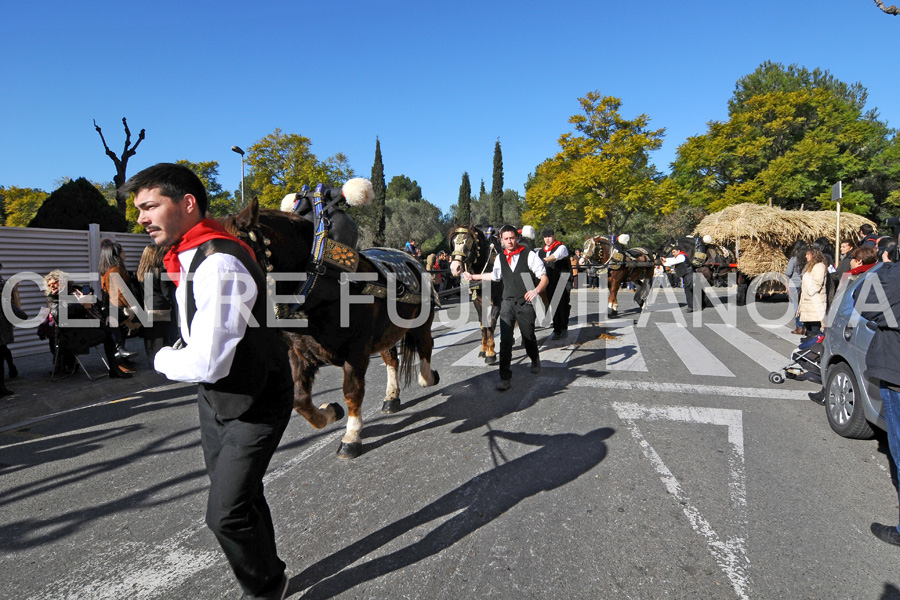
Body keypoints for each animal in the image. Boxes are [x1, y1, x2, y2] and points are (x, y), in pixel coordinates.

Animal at [446, 225, 502, 364]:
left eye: (468, 242)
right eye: (453, 242)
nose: (455, 268)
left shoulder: (498, 299)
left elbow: (491, 322)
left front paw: (491, 353)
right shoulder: (478, 301)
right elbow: (483, 324)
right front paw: (484, 349)